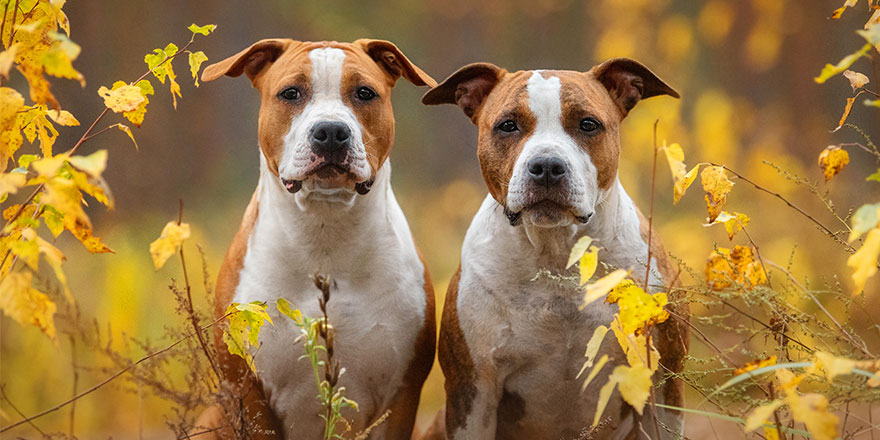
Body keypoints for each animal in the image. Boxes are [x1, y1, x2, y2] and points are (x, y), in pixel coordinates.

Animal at [196, 38, 436, 440]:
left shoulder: (401, 396)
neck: (324, 235)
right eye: (291, 93)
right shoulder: (248, 391)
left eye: (364, 93)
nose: (331, 132)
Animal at [422, 59, 692, 440]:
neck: (557, 256)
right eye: (508, 125)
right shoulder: (473, 391)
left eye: (588, 124)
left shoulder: (662, 380)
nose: (547, 166)